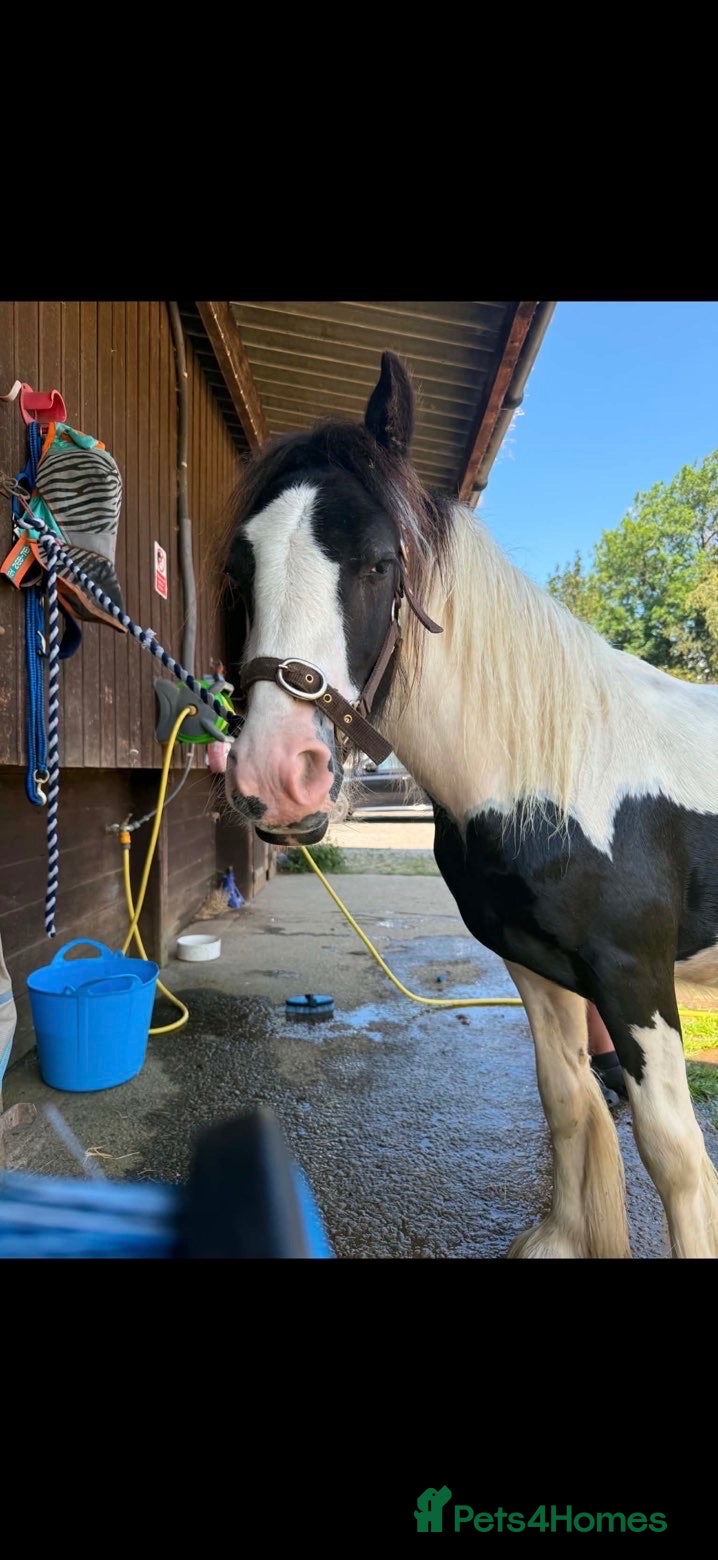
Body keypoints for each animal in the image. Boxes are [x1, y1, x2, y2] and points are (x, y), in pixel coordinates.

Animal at [223, 350, 718, 1259]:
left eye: (377, 562)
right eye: (242, 571)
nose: (277, 776)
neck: (554, 774)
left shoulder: (635, 980)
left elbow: (675, 1158)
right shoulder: (538, 969)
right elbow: (568, 1102)